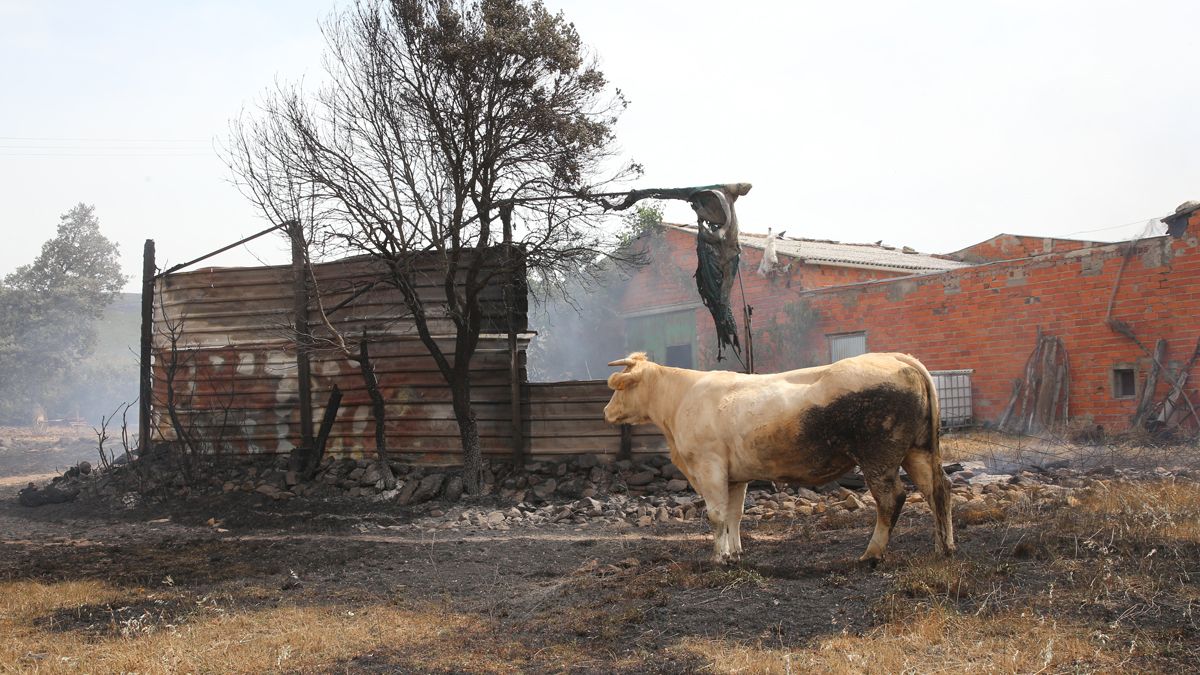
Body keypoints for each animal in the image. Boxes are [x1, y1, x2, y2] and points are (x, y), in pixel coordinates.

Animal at [604, 348, 960, 564]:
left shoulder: (709, 467)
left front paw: (718, 558)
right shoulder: (735, 476)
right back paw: (944, 547)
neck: (679, 400)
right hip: (917, 450)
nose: (606, 412)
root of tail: (897, 358)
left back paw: (871, 554)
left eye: (618, 388)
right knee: (938, 490)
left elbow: (716, 515)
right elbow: (734, 515)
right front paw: (734, 553)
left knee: (892, 499)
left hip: (878, 457)